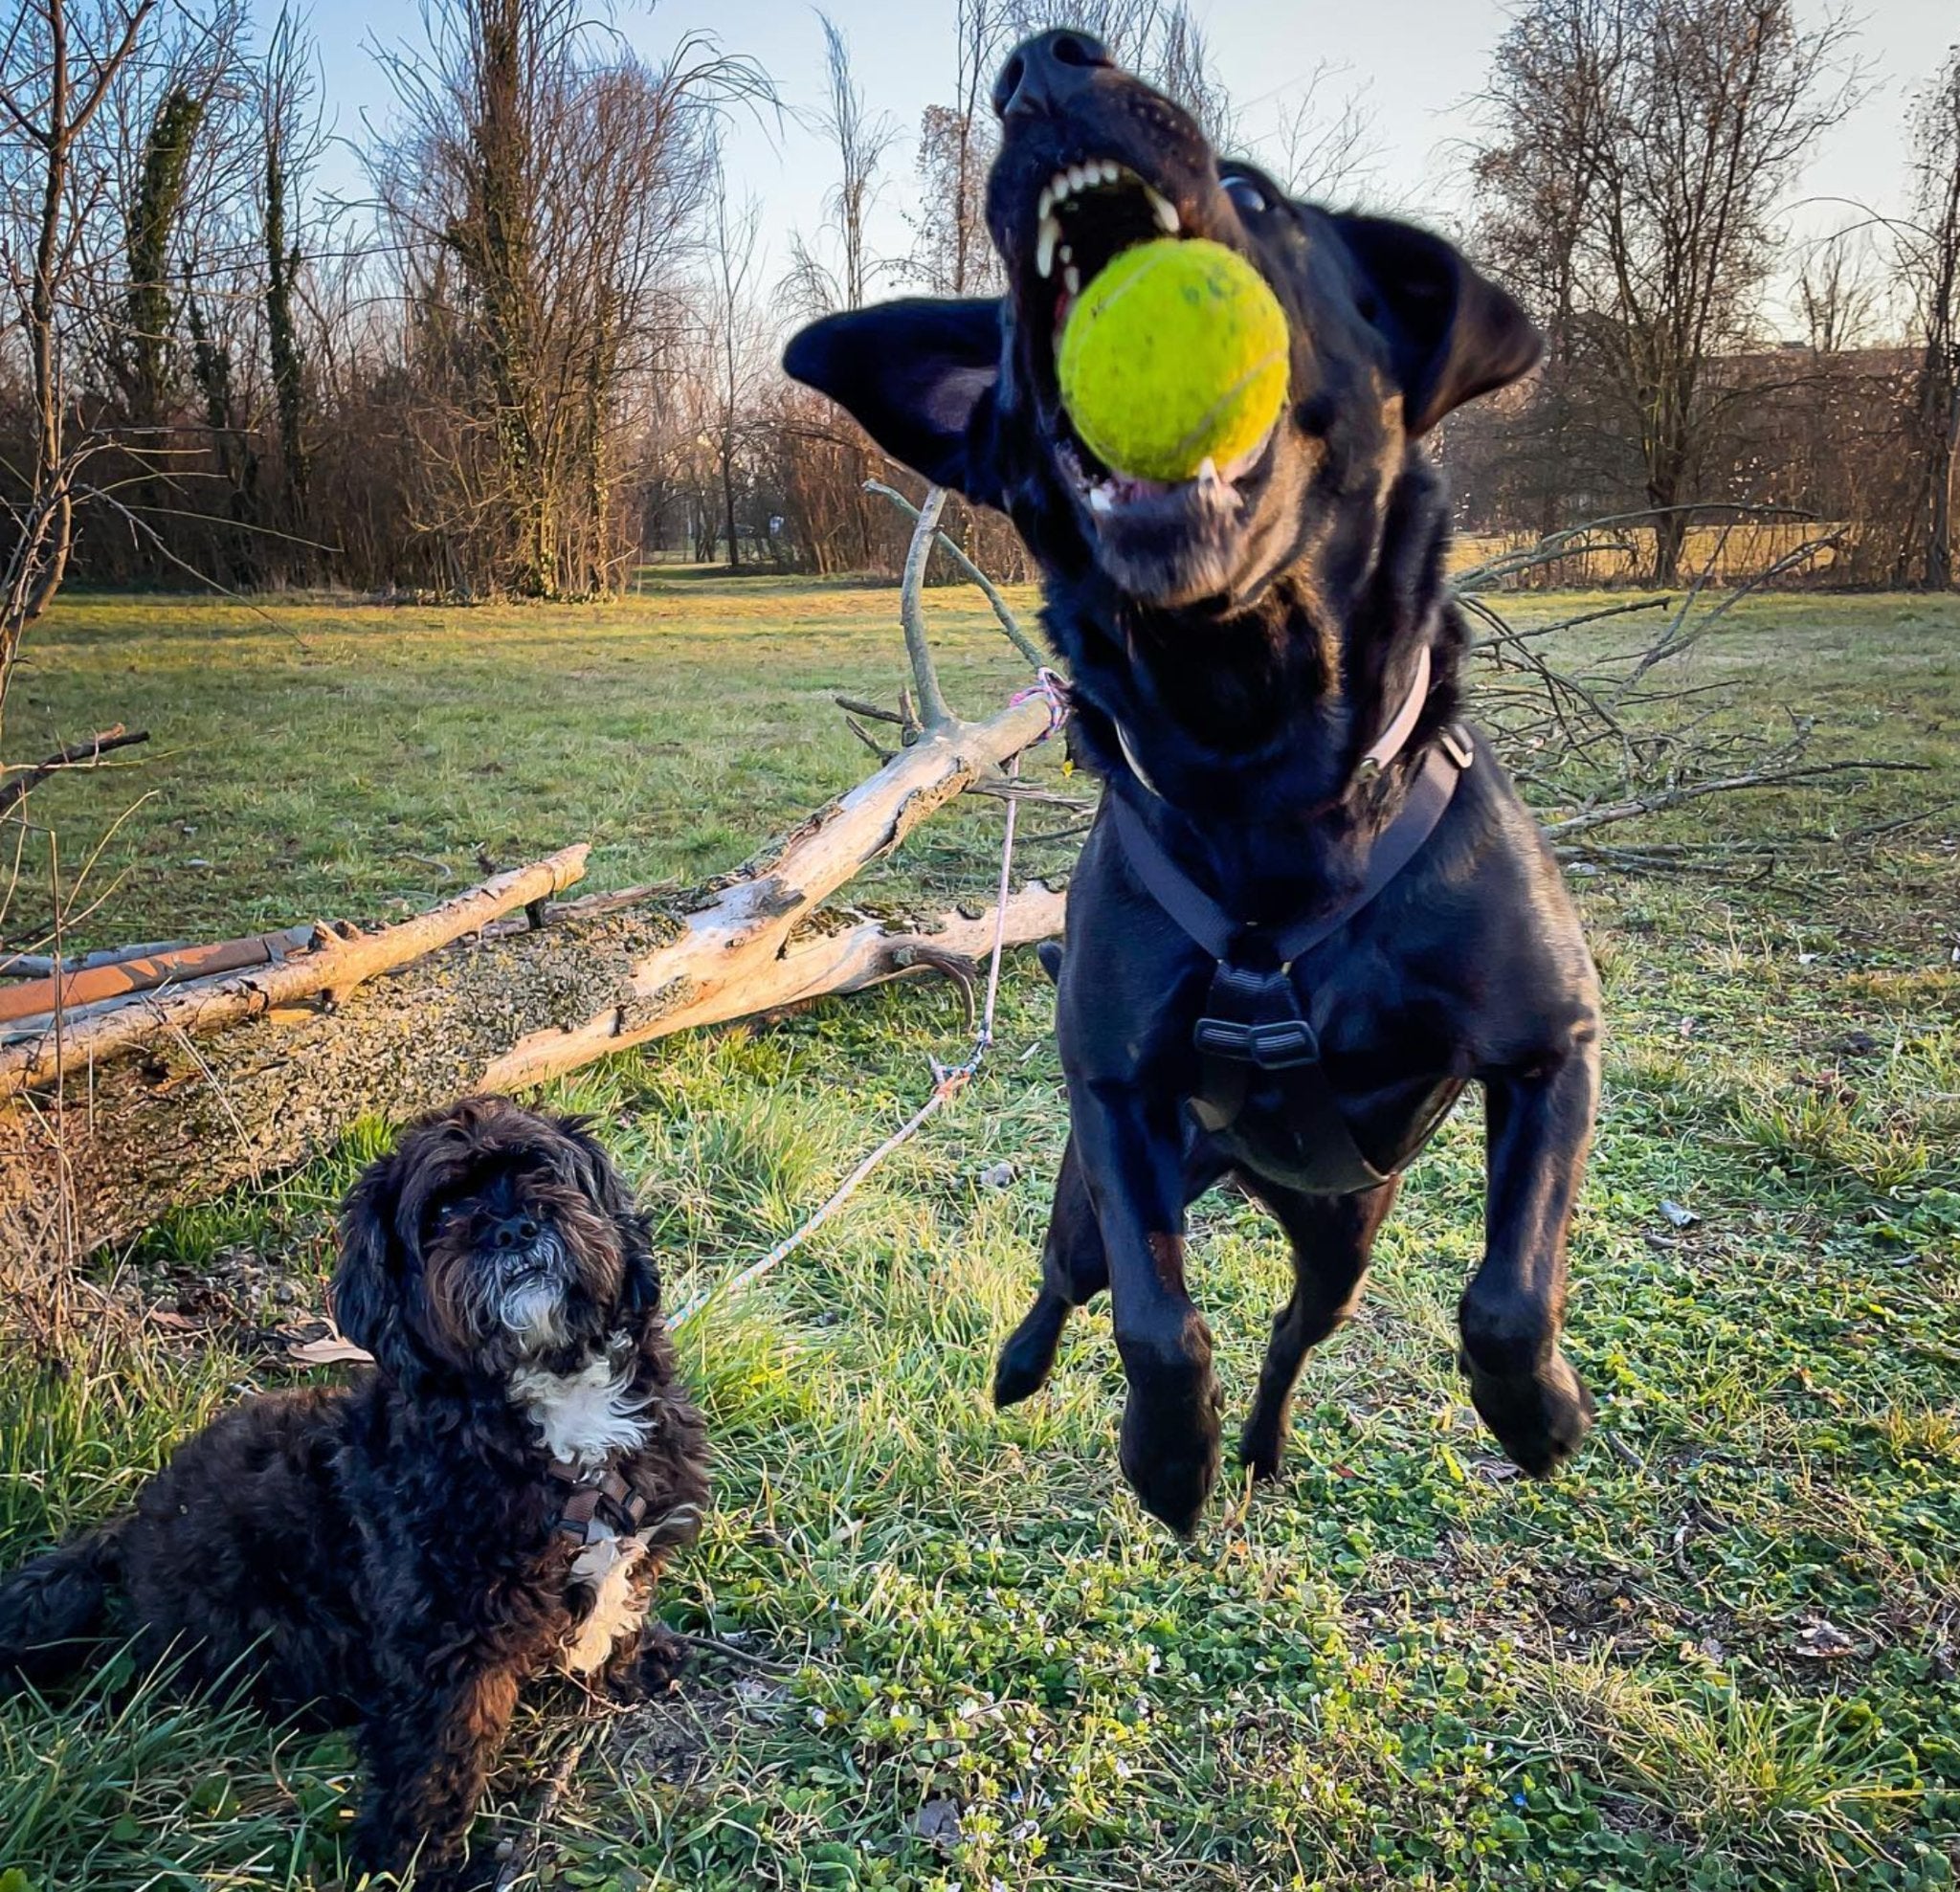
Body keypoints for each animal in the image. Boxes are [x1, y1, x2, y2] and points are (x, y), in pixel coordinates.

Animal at [0, 1090, 717, 1889]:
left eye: (543, 1172)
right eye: (441, 1210)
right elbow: (438, 1755)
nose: (511, 1226)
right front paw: (419, 1864)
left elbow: (626, 1593)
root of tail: (123, 1534)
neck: (555, 1422)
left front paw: (635, 1655)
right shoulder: (442, 1635)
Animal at [788, 29, 1599, 1537]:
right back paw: (1024, 1370)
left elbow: (1510, 1293)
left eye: (1257, 194)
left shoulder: (1550, 1046)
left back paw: (1270, 1441)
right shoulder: (1109, 1091)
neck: (1255, 761)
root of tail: (1254, 1177)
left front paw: (1536, 1411)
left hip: (1345, 1231)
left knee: (1294, 1327)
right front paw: (1168, 1455)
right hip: (1098, 1197)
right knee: (1074, 1281)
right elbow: (1158, 1325)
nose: (1045, 63)